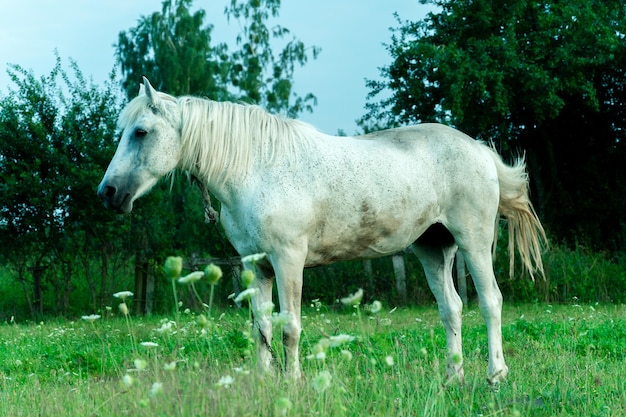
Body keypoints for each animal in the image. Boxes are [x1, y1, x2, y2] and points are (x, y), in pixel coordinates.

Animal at [98, 77, 544, 384]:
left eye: (140, 132)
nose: (108, 193)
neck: (257, 167)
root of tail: (479, 149)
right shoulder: (255, 266)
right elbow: (261, 329)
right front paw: (264, 381)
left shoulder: (288, 260)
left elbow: (289, 328)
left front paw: (292, 382)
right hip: (434, 249)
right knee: (450, 308)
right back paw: (453, 377)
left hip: (473, 243)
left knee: (490, 302)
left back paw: (495, 375)